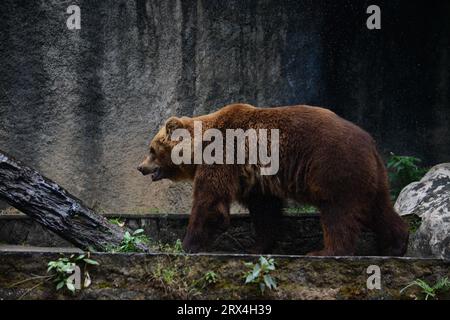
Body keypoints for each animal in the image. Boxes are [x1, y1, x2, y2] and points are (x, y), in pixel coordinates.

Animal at [136, 104, 408, 256]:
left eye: (151, 149)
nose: (140, 167)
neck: (199, 147)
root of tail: (371, 143)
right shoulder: (255, 178)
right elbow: (265, 211)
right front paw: (256, 247)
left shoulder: (223, 155)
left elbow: (209, 201)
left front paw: (187, 243)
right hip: (370, 177)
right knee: (378, 209)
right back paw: (396, 244)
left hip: (334, 167)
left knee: (338, 213)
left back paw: (324, 252)